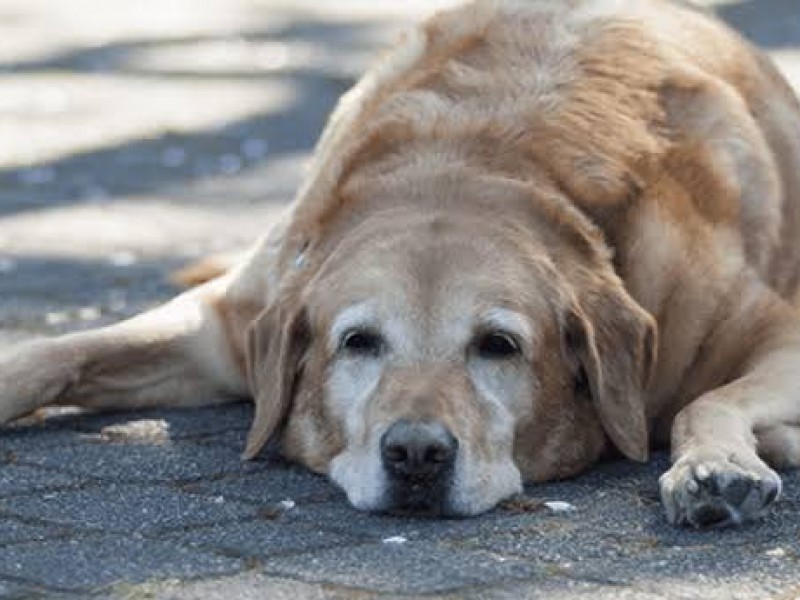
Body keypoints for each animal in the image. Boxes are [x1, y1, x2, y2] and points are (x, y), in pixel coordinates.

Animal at [1, 0, 800, 528]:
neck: (470, 163)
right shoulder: (222, 325)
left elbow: (707, 399)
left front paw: (714, 468)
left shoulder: (776, 331)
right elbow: (51, 355)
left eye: (499, 346)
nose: (417, 454)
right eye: (358, 342)